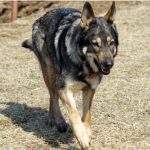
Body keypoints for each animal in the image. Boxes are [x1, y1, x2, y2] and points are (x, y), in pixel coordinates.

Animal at [22, 1, 118, 149]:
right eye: (95, 44)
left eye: (111, 43)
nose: (109, 64)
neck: (84, 64)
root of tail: (41, 17)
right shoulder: (64, 89)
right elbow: (74, 114)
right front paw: (82, 137)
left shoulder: (90, 89)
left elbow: (86, 114)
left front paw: (87, 133)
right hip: (50, 73)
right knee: (53, 96)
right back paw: (58, 121)